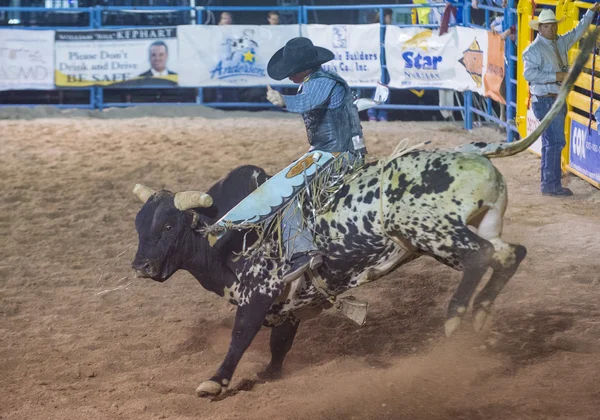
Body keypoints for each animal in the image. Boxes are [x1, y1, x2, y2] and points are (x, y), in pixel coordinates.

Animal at [130, 31, 596, 398]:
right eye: (139, 227)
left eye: (169, 225)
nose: (141, 267)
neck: (230, 236)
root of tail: (472, 151)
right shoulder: (291, 303)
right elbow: (281, 341)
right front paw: (271, 373)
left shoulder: (259, 291)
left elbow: (240, 337)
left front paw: (216, 381)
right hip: (473, 226)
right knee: (507, 253)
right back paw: (478, 313)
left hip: (432, 232)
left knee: (482, 257)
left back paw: (456, 318)